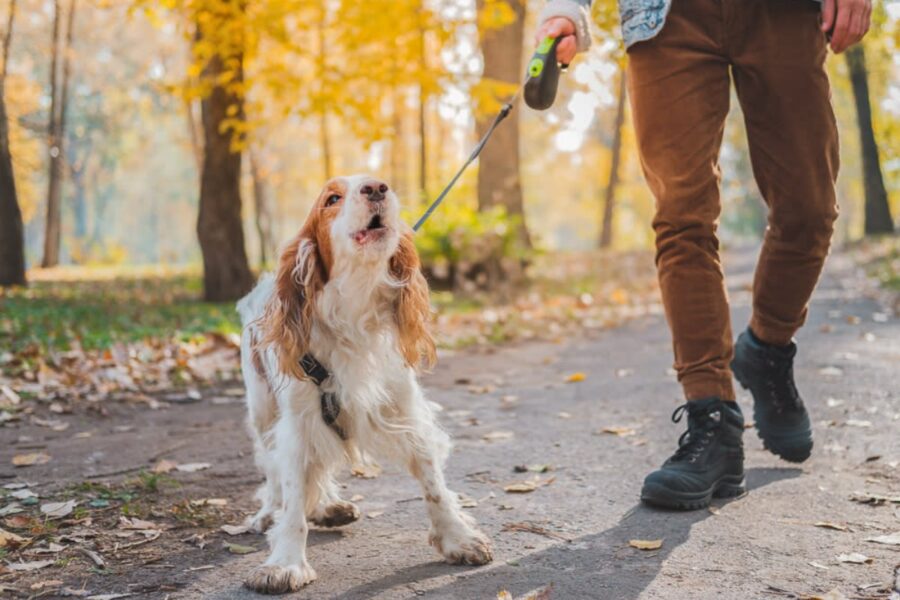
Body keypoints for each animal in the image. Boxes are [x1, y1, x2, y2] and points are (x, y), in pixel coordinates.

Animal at [236, 175, 496, 596]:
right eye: (332, 198)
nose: (376, 188)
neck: (353, 310)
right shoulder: (297, 423)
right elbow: (292, 497)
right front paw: (285, 563)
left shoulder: (405, 409)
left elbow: (433, 483)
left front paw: (458, 538)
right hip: (262, 409)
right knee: (273, 470)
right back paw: (269, 511)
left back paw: (328, 506)